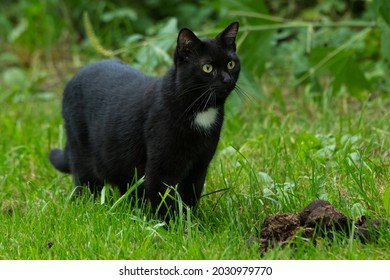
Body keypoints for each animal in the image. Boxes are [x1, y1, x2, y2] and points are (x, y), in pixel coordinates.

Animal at [49, 22, 241, 219]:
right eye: (207, 68)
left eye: (231, 64)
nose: (227, 79)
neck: (201, 112)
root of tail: (72, 78)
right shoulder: (162, 167)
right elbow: (163, 197)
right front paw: (168, 224)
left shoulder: (199, 165)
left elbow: (190, 195)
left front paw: (190, 221)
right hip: (82, 152)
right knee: (85, 182)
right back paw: (89, 207)